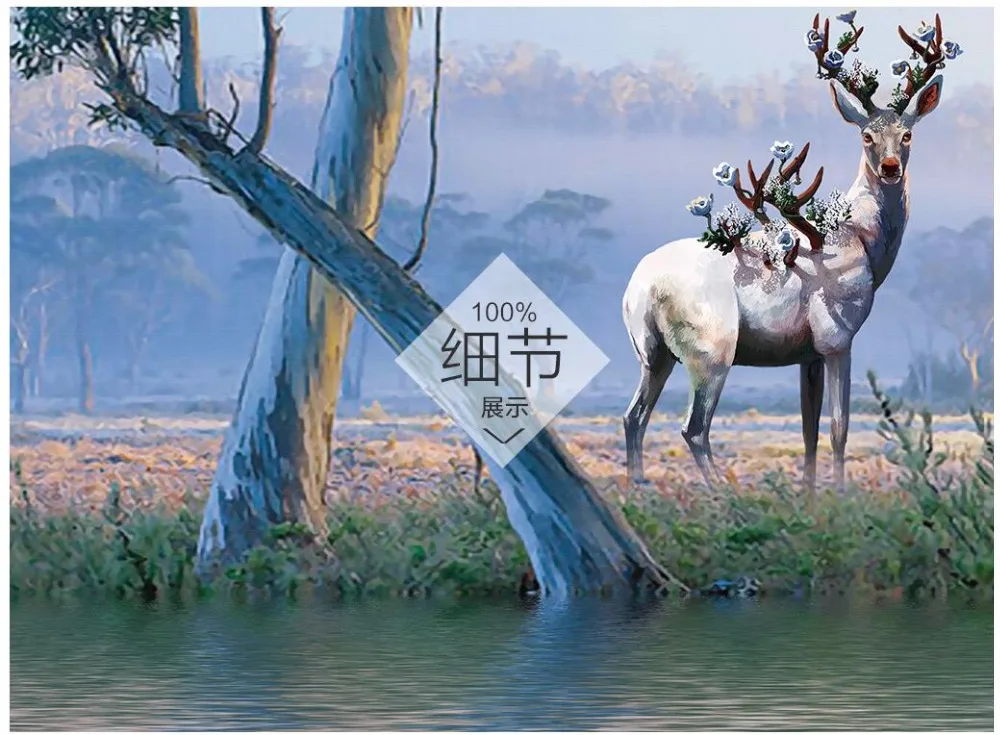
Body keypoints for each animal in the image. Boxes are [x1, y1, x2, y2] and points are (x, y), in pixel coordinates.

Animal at [622, 11, 959, 492]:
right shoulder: (838, 337)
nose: (891, 168)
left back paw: (638, 484)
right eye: (867, 136)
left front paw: (812, 493)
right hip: (712, 348)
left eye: (908, 133)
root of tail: (640, 289)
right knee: (693, 427)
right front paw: (840, 493)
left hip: (652, 353)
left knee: (634, 416)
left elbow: (809, 430)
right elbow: (839, 427)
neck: (863, 241)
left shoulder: (808, 354)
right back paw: (722, 491)